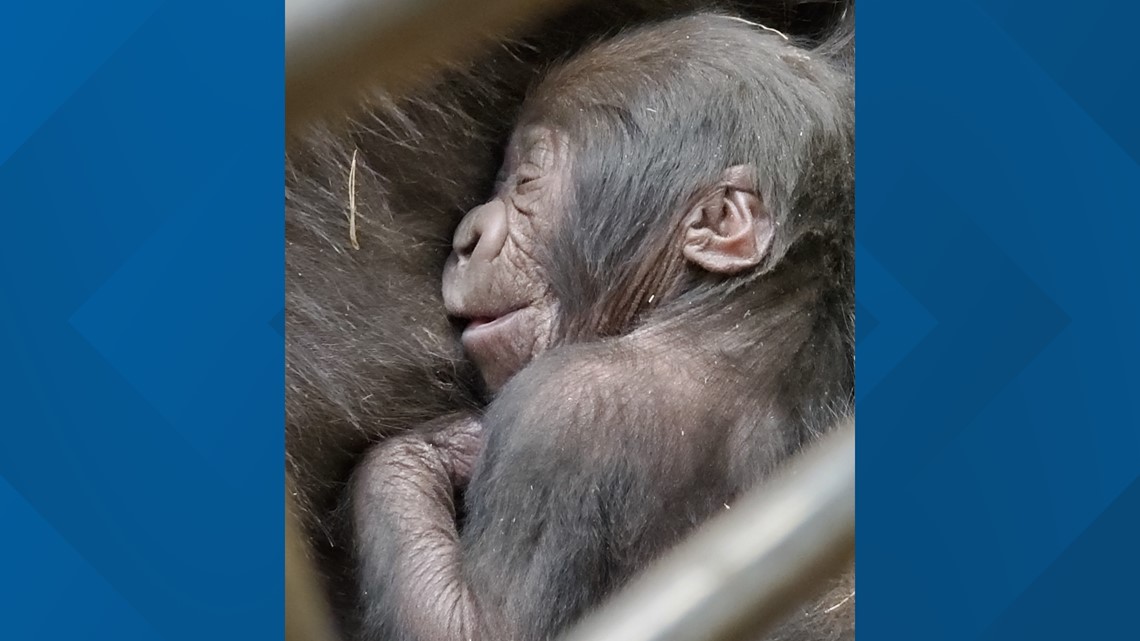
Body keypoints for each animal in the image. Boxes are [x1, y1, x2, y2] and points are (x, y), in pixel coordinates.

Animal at [351, 13, 852, 638]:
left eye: (526, 183)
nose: (468, 236)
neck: (725, 313)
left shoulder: (558, 411)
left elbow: (478, 626)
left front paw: (437, 447)